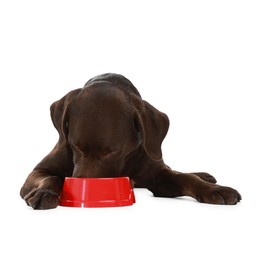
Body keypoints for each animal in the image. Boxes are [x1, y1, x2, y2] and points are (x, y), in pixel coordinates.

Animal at [20, 73, 242, 209]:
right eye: (75, 146)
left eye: (112, 152)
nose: (84, 189)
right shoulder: (39, 170)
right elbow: (52, 177)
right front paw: (45, 192)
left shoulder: (160, 178)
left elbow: (187, 179)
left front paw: (214, 189)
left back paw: (205, 176)